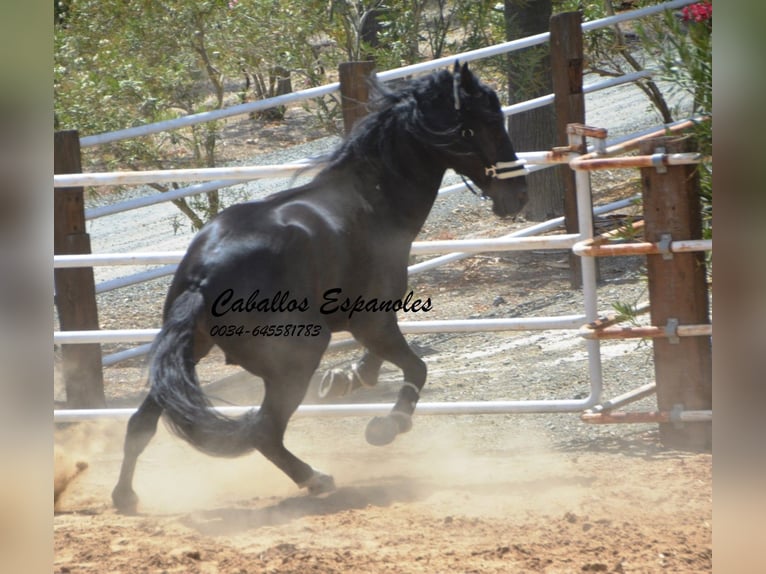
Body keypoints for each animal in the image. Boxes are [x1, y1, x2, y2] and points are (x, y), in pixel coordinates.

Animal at [111, 62, 528, 512]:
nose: (519, 195)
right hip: (297, 357)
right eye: (489, 122)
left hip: (190, 351)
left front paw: (345, 378)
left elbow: (378, 364)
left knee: (141, 424)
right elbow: (417, 367)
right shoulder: (373, 321)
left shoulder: (368, 322)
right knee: (263, 430)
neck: (371, 202)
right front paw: (386, 426)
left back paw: (125, 497)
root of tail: (204, 276)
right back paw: (316, 479)